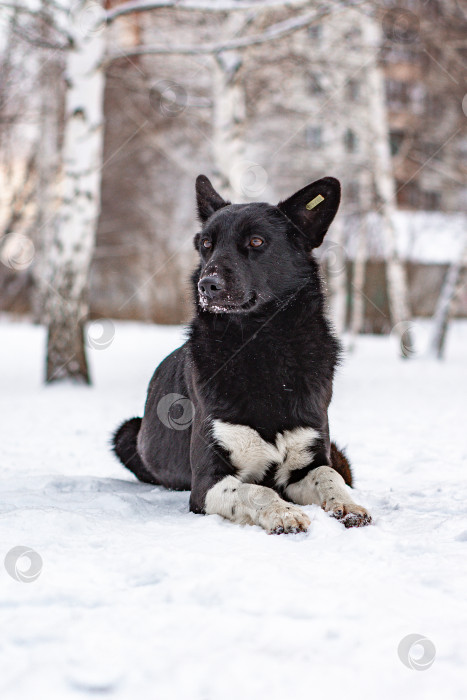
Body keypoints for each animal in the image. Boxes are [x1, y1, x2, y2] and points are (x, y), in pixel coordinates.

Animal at [113, 176, 372, 536]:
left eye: (256, 241)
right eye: (206, 244)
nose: (207, 285)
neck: (261, 345)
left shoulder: (306, 463)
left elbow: (329, 475)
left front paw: (348, 504)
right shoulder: (207, 483)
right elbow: (256, 490)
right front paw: (283, 513)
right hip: (126, 433)